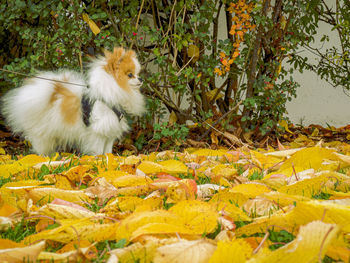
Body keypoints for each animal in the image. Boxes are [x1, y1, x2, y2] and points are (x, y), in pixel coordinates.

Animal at [0, 47, 145, 157]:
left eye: (137, 74)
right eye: (130, 75)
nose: (141, 79)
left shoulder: (109, 131)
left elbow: (107, 151)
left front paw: (109, 159)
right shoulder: (97, 131)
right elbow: (98, 150)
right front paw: (98, 160)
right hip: (43, 133)